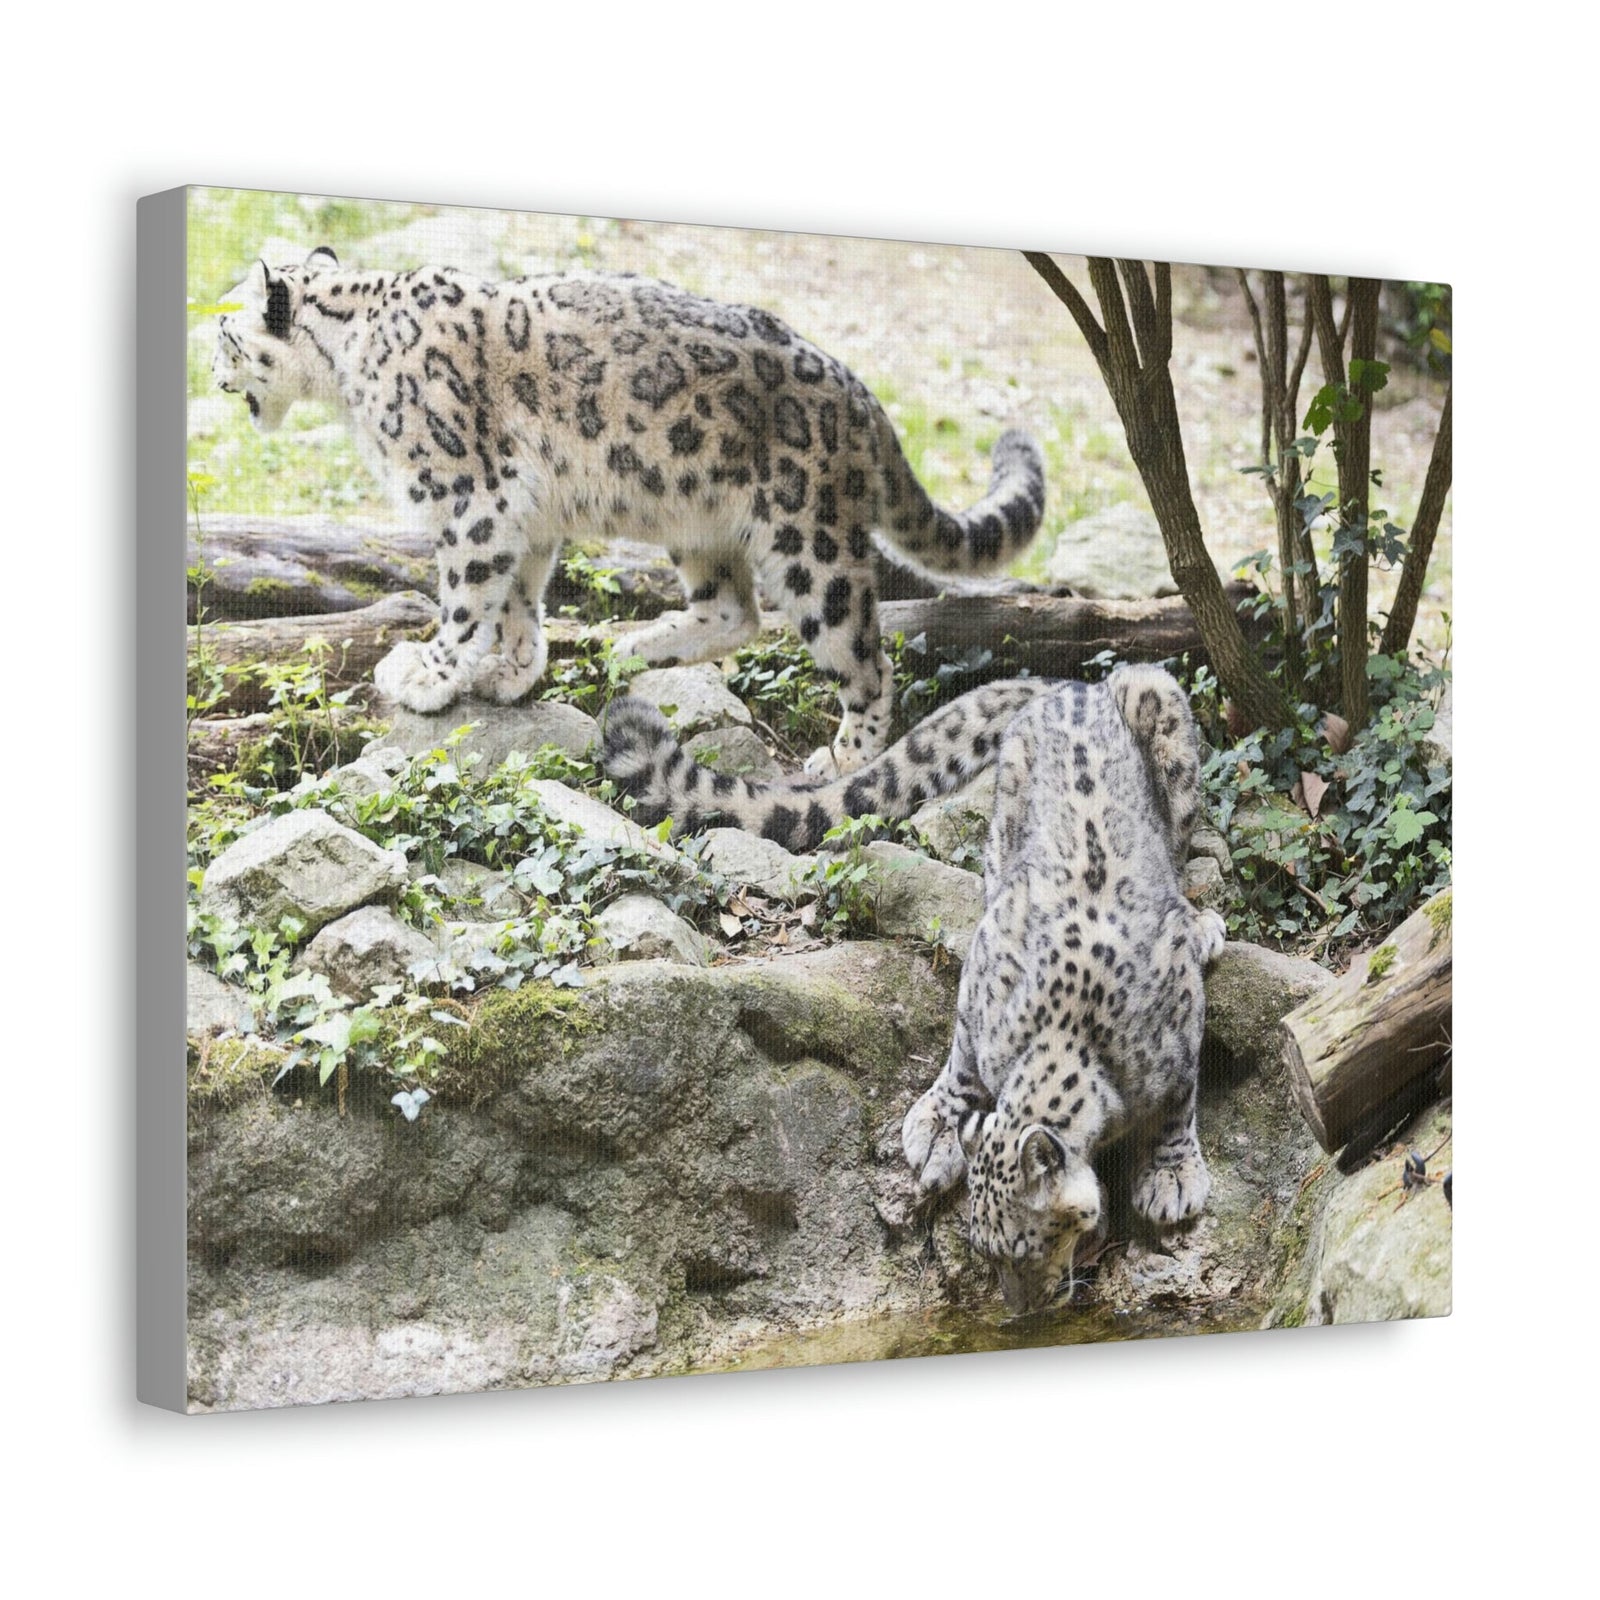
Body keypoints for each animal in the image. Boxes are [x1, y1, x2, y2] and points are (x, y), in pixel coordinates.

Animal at [212, 247, 1047, 774]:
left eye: (225, 332)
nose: (211, 370)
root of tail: (861, 396)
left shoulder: (470, 497)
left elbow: (466, 598)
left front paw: (428, 674)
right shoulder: (522, 515)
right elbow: (518, 598)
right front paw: (513, 672)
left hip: (808, 540)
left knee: (864, 659)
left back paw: (844, 755)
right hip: (696, 519)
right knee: (734, 611)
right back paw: (641, 645)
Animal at [604, 664, 1224, 1314]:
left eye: (1028, 1245)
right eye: (984, 1248)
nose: (1019, 1310)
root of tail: (1072, 686)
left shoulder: (1177, 1028)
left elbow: (1178, 1104)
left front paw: (1171, 1175)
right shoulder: (986, 977)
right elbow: (961, 1060)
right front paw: (940, 1125)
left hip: (1162, 713)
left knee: (1179, 850)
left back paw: (1200, 921)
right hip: (1007, 821)